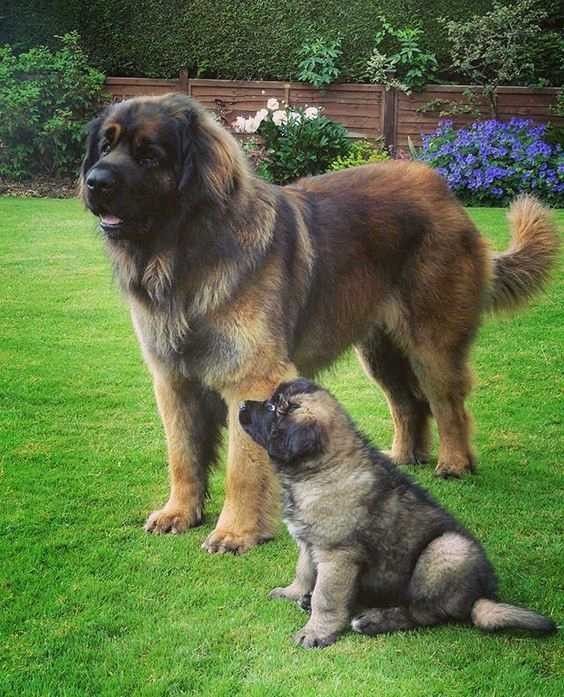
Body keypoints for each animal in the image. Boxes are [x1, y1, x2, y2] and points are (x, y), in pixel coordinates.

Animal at [80, 94, 560, 556]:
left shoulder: (252, 378)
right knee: (409, 404)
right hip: (380, 352)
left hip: (431, 345)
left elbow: (241, 468)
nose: (94, 182)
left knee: (448, 405)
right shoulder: (173, 378)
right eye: (105, 147)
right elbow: (181, 454)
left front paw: (235, 533)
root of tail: (444, 192)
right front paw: (179, 512)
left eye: (149, 155)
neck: (181, 257)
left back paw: (455, 464)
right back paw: (401, 458)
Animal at [238, 380, 556, 648]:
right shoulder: (309, 543)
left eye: (272, 408)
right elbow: (304, 573)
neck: (323, 468)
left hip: (447, 549)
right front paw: (291, 592)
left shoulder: (337, 553)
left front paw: (316, 632)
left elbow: (325, 597)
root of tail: (480, 596)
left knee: (423, 613)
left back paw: (373, 620)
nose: (241, 404)